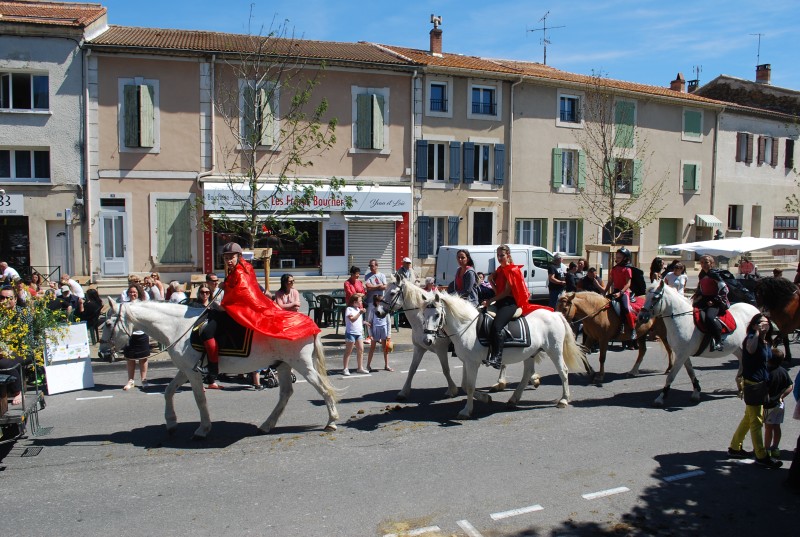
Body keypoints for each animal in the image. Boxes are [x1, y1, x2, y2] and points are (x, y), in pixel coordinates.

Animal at [100, 300, 338, 438]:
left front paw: (203, 428)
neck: (178, 326)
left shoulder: (193, 373)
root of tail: (310, 323)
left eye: (109, 324)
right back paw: (267, 425)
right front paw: (171, 422)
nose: (103, 353)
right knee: (286, 393)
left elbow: (200, 399)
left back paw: (332, 422)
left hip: (302, 364)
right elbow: (168, 391)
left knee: (324, 390)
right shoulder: (185, 370)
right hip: (284, 365)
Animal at [418, 292, 588, 416]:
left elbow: (470, 387)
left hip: (554, 350)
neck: (467, 327)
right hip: (530, 353)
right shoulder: (466, 362)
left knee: (563, 371)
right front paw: (485, 398)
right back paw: (513, 399)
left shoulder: (472, 363)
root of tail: (556, 314)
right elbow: (465, 386)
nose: (427, 340)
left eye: (436, 315)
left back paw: (564, 400)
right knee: (527, 373)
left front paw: (467, 411)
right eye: (424, 315)